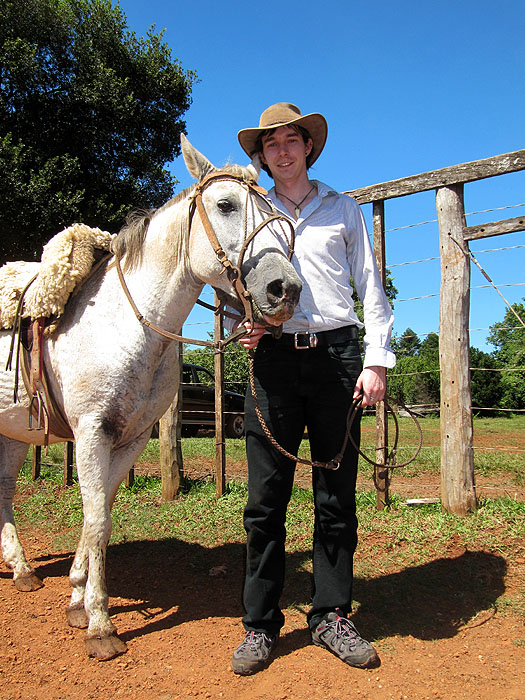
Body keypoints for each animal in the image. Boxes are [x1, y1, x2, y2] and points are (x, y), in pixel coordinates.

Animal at [0, 135, 300, 656]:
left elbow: (98, 516)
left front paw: (78, 600)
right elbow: (98, 521)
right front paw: (101, 627)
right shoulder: (92, 433)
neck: (128, 322)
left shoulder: (132, 437)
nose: (286, 289)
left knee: (3, 490)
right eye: (225, 204)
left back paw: (21, 570)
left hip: (16, 431)